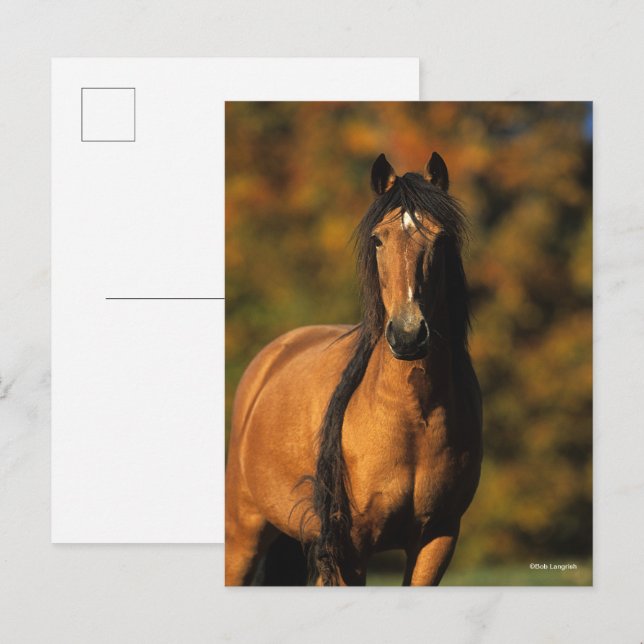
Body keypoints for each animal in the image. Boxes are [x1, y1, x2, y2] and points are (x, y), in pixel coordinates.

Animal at [225, 152, 483, 586]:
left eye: (441, 238)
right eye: (378, 239)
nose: (408, 335)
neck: (413, 416)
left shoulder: (438, 538)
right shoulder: (352, 548)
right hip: (244, 533)